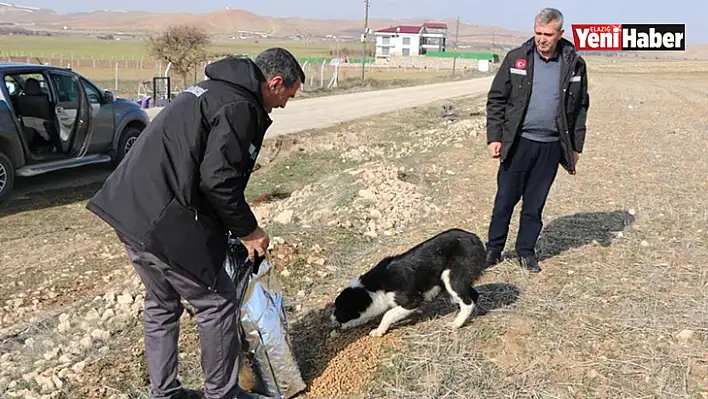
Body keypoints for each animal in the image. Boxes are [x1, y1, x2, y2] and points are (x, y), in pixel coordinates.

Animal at [330, 228, 486, 338]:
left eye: (339, 308)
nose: (330, 318)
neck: (372, 288)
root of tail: (476, 238)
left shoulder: (413, 300)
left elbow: (388, 314)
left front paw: (379, 330)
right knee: (473, 295)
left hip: (451, 277)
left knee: (468, 302)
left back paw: (456, 323)